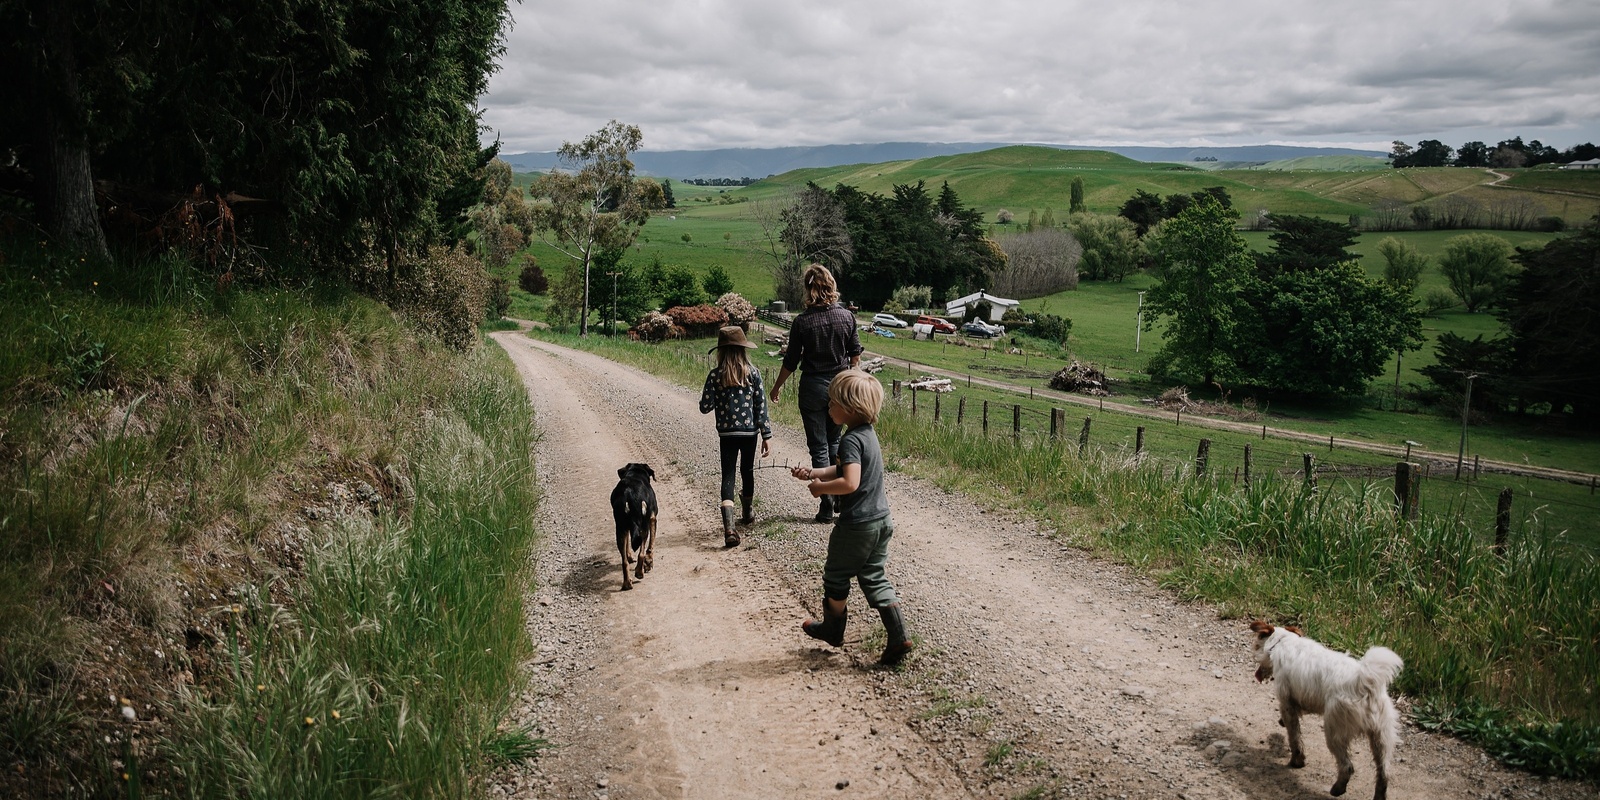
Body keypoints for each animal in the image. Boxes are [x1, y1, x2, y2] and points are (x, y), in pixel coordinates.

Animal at [1248, 617, 1401, 800]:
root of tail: (1365, 682)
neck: (1283, 642)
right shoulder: (1304, 698)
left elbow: (1294, 737)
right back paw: (1378, 794)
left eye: (1256, 643)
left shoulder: (1287, 702)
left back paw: (1338, 788)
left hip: (1334, 732)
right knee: (1384, 773)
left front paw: (1297, 761)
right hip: (1381, 737)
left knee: (1347, 766)